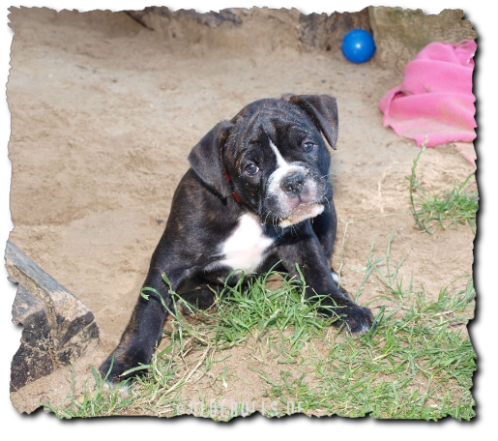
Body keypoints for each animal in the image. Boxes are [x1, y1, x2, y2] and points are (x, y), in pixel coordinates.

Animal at [101, 93, 374, 382]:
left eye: (308, 145)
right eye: (251, 168)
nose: (293, 181)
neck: (248, 211)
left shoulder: (300, 241)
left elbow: (317, 275)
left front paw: (344, 309)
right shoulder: (169, 261)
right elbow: (147, 309)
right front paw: (127, 363)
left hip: (328, 211)